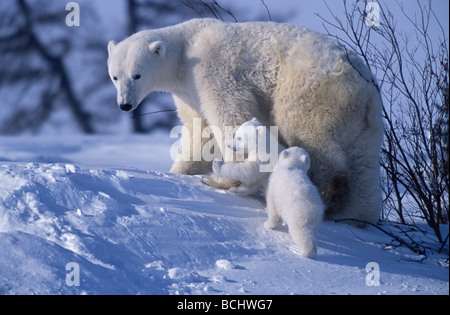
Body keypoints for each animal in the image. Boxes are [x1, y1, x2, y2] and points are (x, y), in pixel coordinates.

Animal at [108, 17, 384, 225]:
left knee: (308, 135)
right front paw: (181, 172)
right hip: (365, 121)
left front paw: (224, 179)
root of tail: (365, 86)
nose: (125, 105)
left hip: (313, 91)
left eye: (137, 75)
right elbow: (200, 132)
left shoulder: (211, 70)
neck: (186, 50)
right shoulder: (188, 93)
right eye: (115, 76)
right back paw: (357, 216)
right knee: (364, 164)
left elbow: (230, 115)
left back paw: (327, 197)